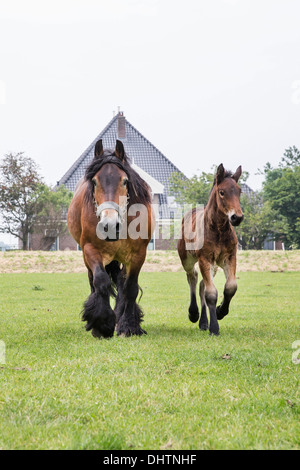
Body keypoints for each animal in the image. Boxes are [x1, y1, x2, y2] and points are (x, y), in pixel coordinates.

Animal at [67, 139, 155, 338]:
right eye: (94, 181)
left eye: (124, 181)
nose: (110, 225)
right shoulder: (90, 249)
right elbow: (101, 281)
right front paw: (102, 324)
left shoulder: (138, 254)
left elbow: (130, 288)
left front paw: (128, 326)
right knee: (94, 281)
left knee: (122, 283)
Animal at [178, 163, 244, 336]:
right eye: (222, 192)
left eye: (239, 191)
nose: (237, 217)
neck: (218, 230)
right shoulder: (204, 259)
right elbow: (211, 294)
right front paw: (214, 328)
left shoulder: (229, 257)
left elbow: (230, 287)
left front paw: (221, 311)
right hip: (187, 259)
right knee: (193, 277)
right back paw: (194, 313)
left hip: (213, 265)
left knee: (202, 284)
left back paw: (203, 322)